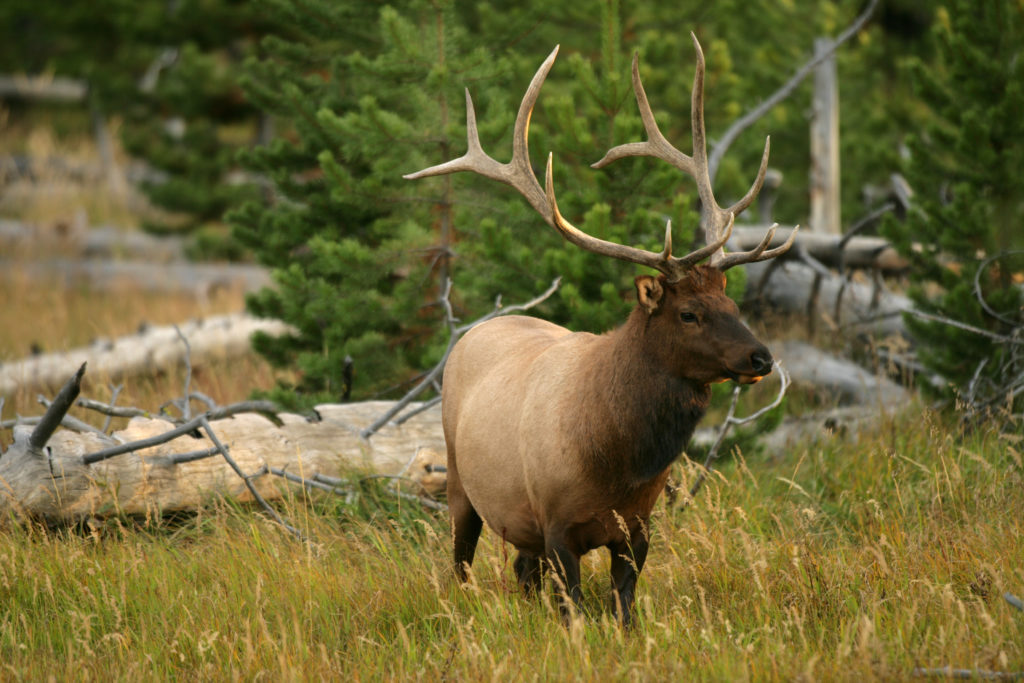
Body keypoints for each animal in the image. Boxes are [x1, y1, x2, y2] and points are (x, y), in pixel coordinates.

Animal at [403, 36, 794, 626]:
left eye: (730, 300)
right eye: (688, 313)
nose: (760, 358)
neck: (618, 464)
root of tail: (475, 331)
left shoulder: (639, 528)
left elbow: (624, 609)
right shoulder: (557, 523)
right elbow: (576, 613)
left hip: (520, 524)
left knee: (522, 571)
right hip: (458, 483)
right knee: (462, 561)